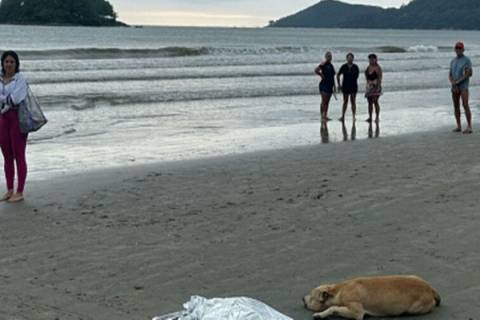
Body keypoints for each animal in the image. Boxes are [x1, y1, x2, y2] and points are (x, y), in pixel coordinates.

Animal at [304, 276, 442, 320]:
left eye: (311, 298)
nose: (302, 299)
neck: (338, 290)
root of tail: (430, 288)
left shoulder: (356, 312)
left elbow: (333, 308)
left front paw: (321, 314)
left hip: (415, 308)